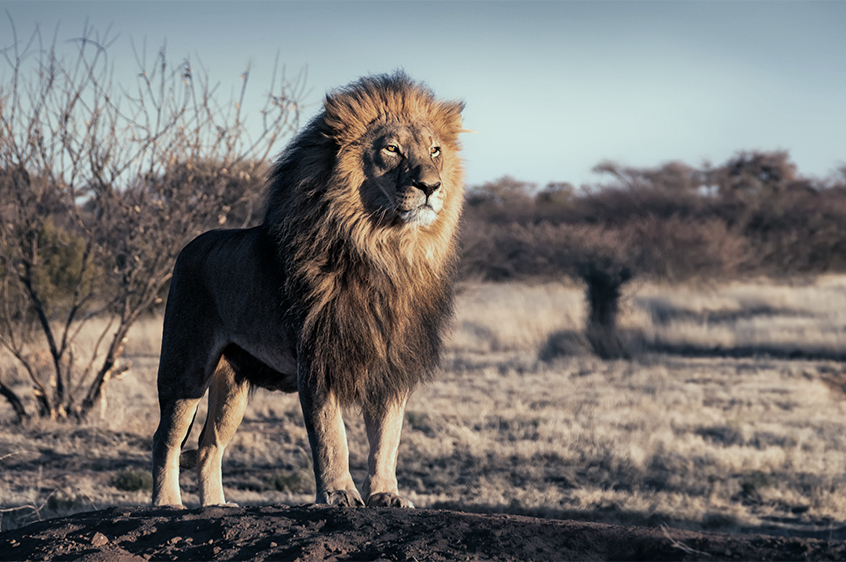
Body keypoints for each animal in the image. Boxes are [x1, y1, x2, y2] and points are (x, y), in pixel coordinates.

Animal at [151, 72, 465, 508]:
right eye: (391, 149)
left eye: (435, 150)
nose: (431, 186)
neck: (386, 250)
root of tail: (190, 245)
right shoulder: (317, 357)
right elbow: (332, 436)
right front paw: (339, 494)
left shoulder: (391, 363)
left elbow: (388, 438)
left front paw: (386, 494)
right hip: (186, 368)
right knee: (166, 438)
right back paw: (167, 503)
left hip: (233, 384)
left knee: (209, 444)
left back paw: (216, 505)